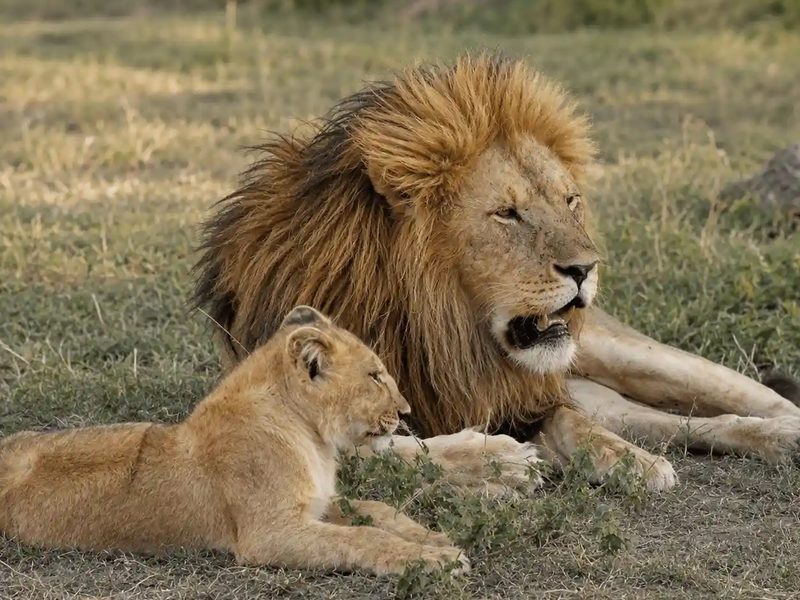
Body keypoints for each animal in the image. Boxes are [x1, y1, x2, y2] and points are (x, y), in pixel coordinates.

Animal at [0, 306, 469, 576]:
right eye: (374, 376)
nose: (406, 411)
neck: (309, 433)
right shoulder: (269, 533)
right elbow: (360, 538)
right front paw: (434, 560)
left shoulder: (314, 503)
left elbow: (376, 509)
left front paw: (433, 539)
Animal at [193, 54, 800, 493]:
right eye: (507, 213)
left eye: (570, 201)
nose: (585, 269)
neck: (445, 331)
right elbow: (390, 452)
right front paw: (500, 462)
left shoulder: (532, 393)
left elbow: (572, 422)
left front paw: (621, 461)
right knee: (663, 419)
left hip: (625, 352)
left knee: (741, 399)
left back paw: (783, 432)